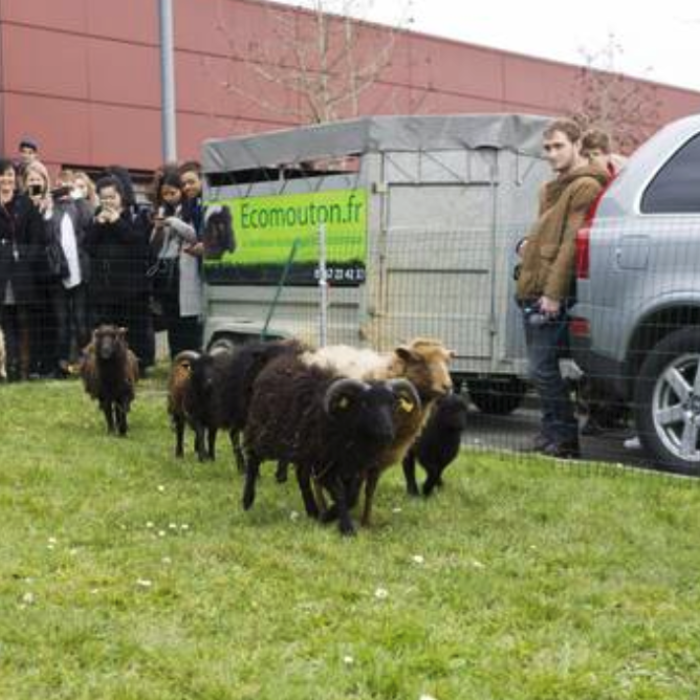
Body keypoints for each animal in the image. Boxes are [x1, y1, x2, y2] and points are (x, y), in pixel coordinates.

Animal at [243, 356, 418, 536]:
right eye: (364, 403)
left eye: (393, 404)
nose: (387, 433)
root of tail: (275, 364)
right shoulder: (326, 465)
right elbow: (340, 495)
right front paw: (346, 527)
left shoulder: (355, 467)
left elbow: (352, 497)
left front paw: (327, 516)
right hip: (263, 432)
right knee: (252, 458)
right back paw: (247, 501)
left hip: (304, 449)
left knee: (301, 477)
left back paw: (312, 511)